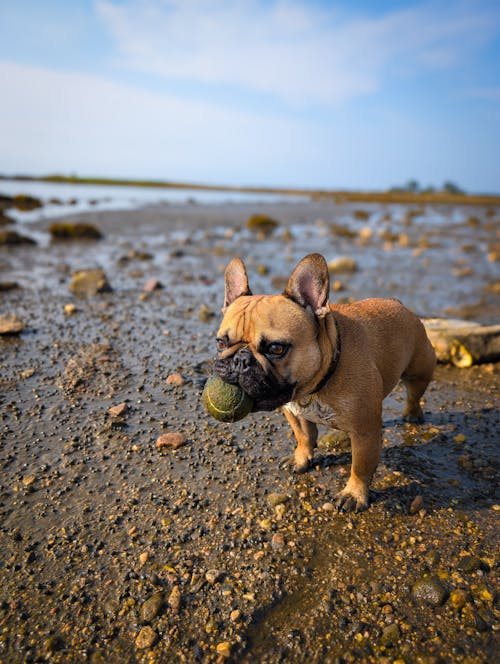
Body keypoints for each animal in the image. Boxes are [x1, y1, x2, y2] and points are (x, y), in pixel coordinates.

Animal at [213, 254, 436, 512]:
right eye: (221, 343)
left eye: (276, 348)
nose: (240, 360)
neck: (313, 388)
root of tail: (399, 304)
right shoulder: (294, 412)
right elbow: (304, 437)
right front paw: (301, 459)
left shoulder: (365, 432)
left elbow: (360, 467)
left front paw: (354, 494)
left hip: (420, 369)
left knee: (414, 393)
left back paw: (412, 414)